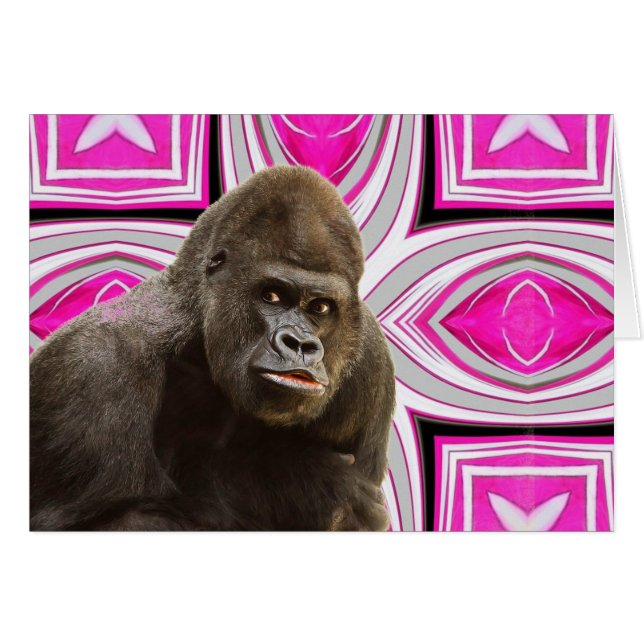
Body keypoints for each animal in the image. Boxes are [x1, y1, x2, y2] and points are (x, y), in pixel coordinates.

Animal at [30, 165, 396, 531]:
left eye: (320, 307)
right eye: (272, 296)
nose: (301, 344)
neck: (196, 334)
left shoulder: (371, 361)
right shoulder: (95, 365)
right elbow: (110, 521)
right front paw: (303, 485)